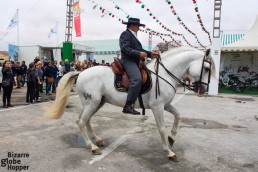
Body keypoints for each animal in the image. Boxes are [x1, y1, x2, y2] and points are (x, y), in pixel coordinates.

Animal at [47, 46, 215, 161]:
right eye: (207, 68)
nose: (203, 90)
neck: (164, 74)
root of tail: (80, 72)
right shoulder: (158, 107)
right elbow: (161, 128)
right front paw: (169, 152)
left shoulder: (165, 105)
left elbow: (178, 115)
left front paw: (172, 138)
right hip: (92, 103)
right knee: (81, 121)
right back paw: (93, 147)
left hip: (96, 103)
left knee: (85, 120)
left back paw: (98, 140)